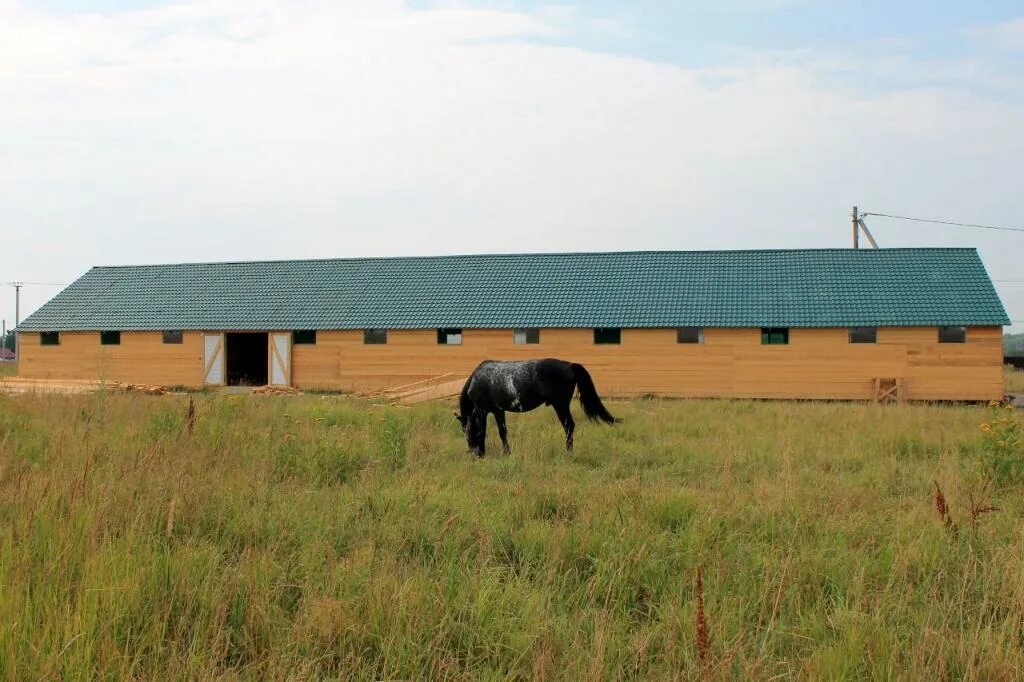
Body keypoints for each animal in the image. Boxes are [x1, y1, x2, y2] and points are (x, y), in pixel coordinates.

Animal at [456, 356, 614, 456]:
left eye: (465, 429)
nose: (472, 451)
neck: (477, 379)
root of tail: (569, 365)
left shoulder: (481, 410)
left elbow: (482, 431)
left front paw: (482, 453)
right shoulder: (498, 411)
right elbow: (502, 432)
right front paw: (507, 453)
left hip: (561, 404)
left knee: (569, 425)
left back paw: (568, 451)